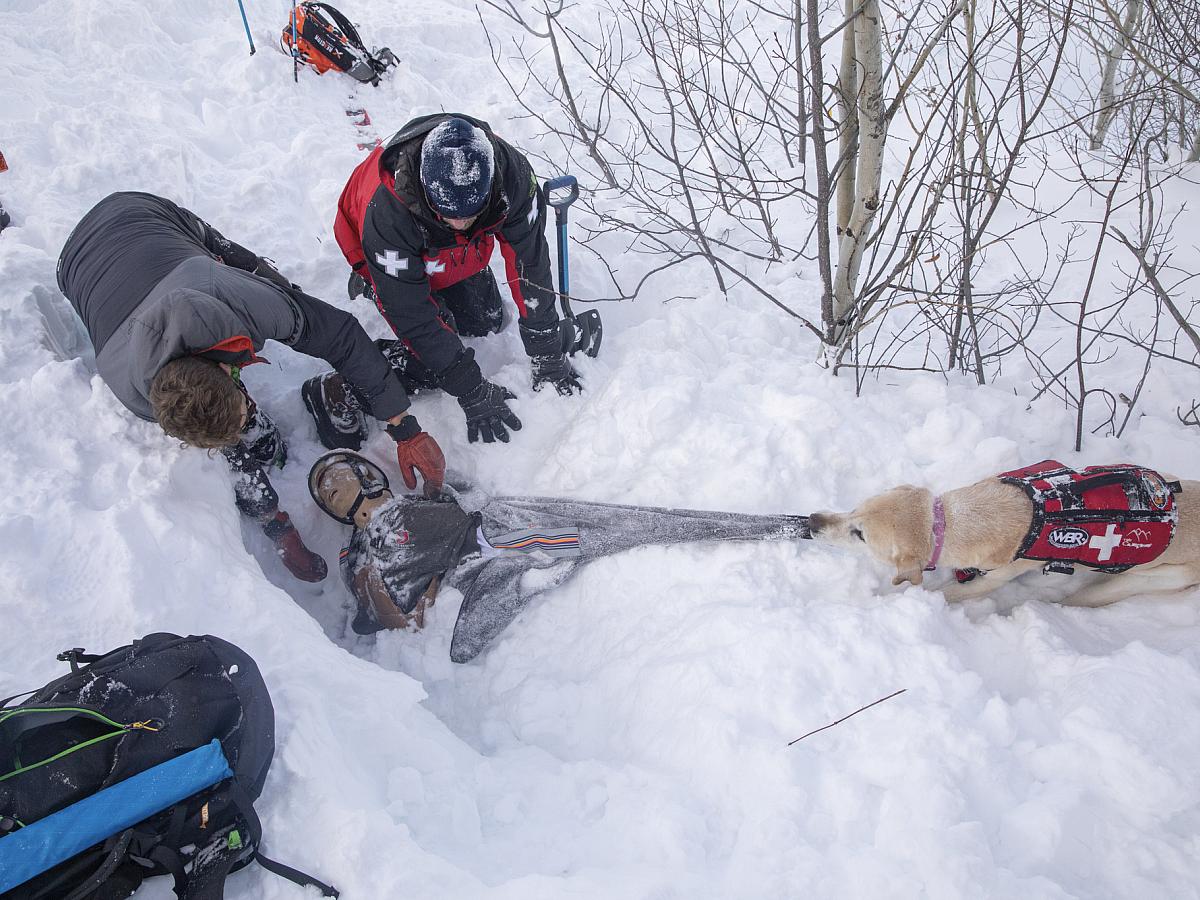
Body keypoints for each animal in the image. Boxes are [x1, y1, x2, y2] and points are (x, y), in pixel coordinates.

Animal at [806, 465, 1200, 607]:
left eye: (859, 534)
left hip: (1149, 579)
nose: (812, 520)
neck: (949, 521)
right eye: (854, 508)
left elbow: (949, 592)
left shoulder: (996, 576)